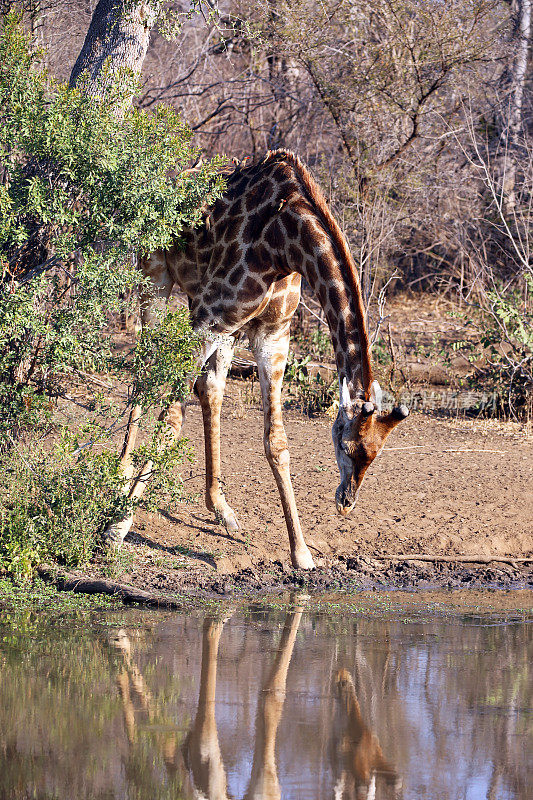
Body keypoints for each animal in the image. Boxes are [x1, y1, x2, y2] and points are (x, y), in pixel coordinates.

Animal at [106, 148, 410, 568]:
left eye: (376, 454)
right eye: (346, 445)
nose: (346, 502)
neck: (286, 244)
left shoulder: (272, 334)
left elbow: (276, 442)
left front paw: (301, 553)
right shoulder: (208, 316)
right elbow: (170, 415)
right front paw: (117, 528)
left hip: (219, 319)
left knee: (209, 387)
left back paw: (220, 508)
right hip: (155, 280)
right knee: (145, 372)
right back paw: (120, 478)